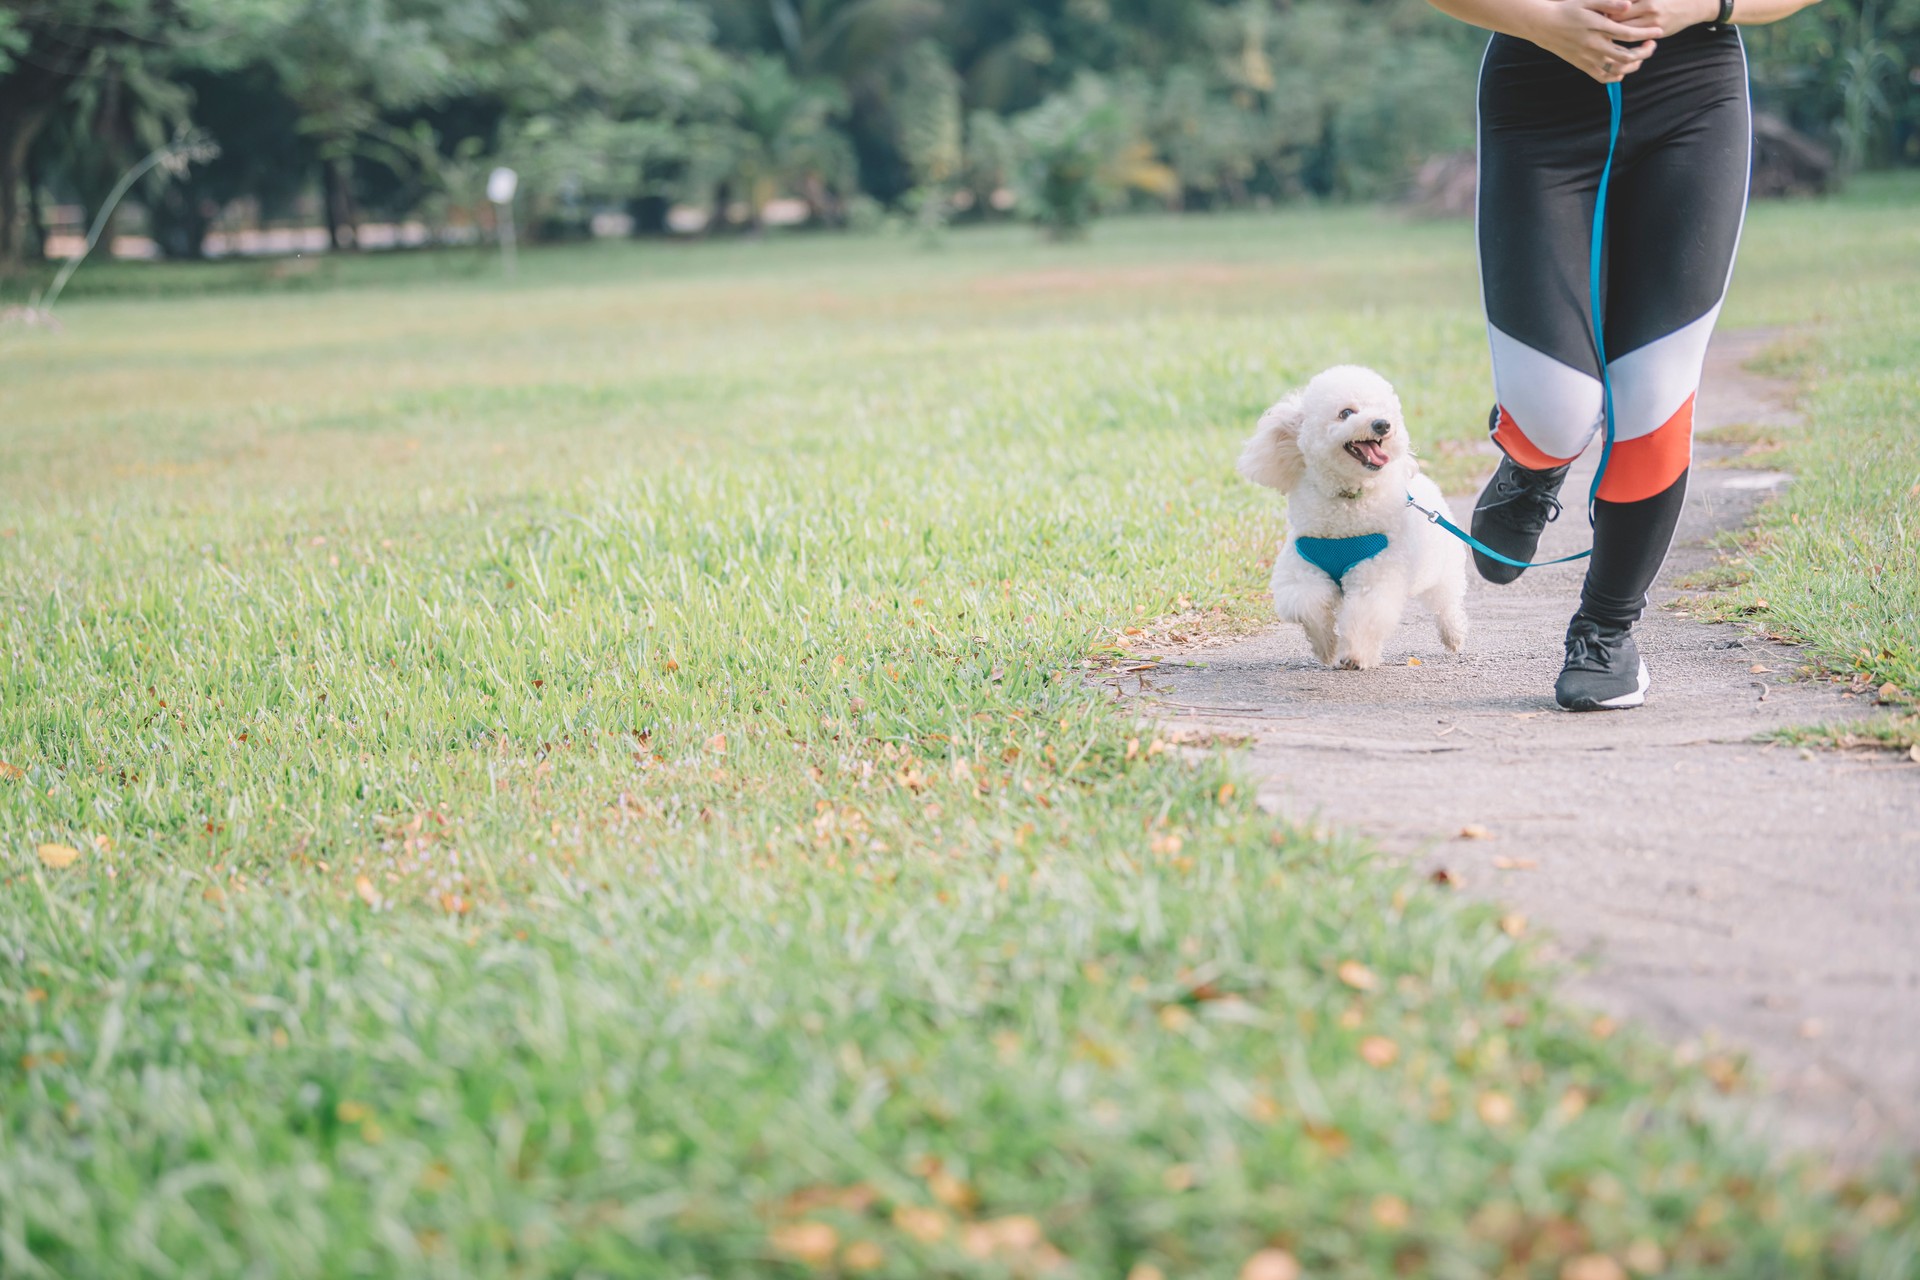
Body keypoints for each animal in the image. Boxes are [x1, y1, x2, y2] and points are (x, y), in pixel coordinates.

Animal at [1228, 362, 1466, 671]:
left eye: (1383, 410)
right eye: (1346, 413)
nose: (1382, 424)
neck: (1347, 499)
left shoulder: (1374, 573)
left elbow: (1365, 614)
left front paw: (1354, 655)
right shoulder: (1301, 569)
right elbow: (1309, 605)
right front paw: (1326, 647)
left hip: (1442, 567)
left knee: (1446, 602)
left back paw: (1453, 635)